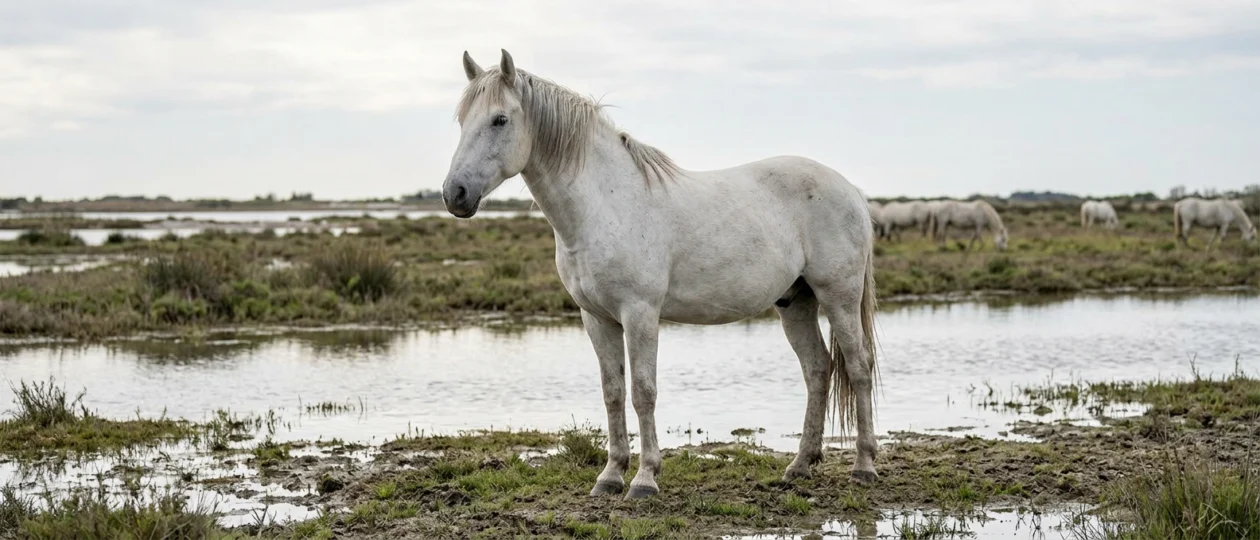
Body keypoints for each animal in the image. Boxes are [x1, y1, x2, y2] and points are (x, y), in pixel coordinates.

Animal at [441, 50, 881, 499]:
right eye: (462, 120)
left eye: (499, 119)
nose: (454, 194)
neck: (603, 206)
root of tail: (849, 190)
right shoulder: (595, 318)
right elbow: (613, 392)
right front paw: (610, 476)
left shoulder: (639, 313)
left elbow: (643, 392)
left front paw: (644, 479)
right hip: (795, 302)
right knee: (818, 370)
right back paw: (799, 466)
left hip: (838, 296)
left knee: (859, 366)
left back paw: (863, 466)